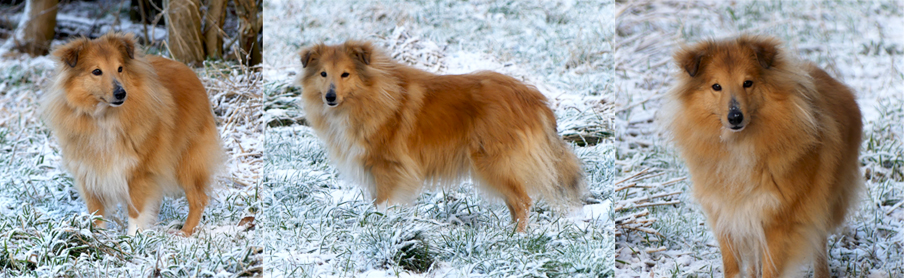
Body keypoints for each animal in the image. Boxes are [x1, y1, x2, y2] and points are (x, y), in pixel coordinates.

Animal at [42, 33, 224, 237]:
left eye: (120, 68)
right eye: (96, 71)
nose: (121, 93)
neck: (104, 117)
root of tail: (190, 71)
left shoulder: (138, 172)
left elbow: (136, 211)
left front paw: (133, 238)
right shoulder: (89, 171)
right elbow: (96, 212)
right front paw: (97, 236)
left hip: (187, 162)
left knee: (199, 199)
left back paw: (185, 232)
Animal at [296, 40, 588, 230]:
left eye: (345, 74)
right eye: (323, 74)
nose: (330, 97)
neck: (370, 95)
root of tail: (534, 97)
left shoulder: (388, 168)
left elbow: (382, 204)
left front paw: (379, 225)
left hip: (493, 163)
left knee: (524, 202)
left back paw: (517, 238)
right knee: (516, 204)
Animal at [668, 35, 864, 278]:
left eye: (748, 83)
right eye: (716, 86)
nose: (735, 117)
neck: (739, 145)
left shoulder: (779, 221)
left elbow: (772, 269)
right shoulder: (728, 216)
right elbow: (734, 268)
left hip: (822, 203)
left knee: (818, 243)